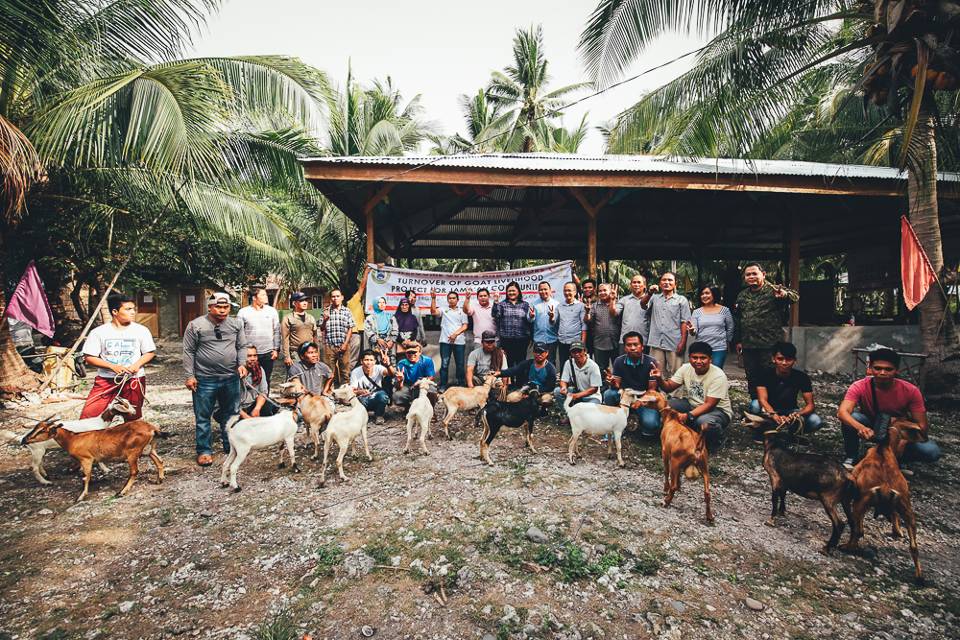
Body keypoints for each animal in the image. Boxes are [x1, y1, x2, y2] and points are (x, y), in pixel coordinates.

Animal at [19, 416, 166, 504]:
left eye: (42, 430)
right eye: (35, 427)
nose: (24, 440)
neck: (73, 439)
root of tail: (152, 429)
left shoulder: (86, 459)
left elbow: (86, 477)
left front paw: (80, 497)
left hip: (132, 453)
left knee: (135, 471)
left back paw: (121, 492)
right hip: (149, 449)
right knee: (159, 461)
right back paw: (159, 479)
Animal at [636, 390, 712, 524]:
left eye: (647, 394)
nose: (639, 398)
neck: (672, 419)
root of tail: (697, 446)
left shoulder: (665, 452)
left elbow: (666, 472)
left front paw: (665, 488)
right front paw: (680, 485)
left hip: (676, 461)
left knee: (673, 485)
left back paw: (666, 501)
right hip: (704, 466)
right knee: (707, 493)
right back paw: (709, 516)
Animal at [744, 412, 856, 552]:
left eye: (761, 417)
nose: (744, 418)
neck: (773, 446)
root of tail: (847, 474)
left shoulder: (775, 477)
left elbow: (775, 499)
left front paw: (771, 520)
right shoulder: (784, 480)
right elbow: (783, 495)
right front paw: (782, 512)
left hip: (828, 498)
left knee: (839, 523)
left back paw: (826, 549)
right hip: (846, 499)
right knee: (853, 523)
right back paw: (846, 546)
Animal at [844, 420, 928, 584]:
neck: (884, 448)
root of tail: (885, 486)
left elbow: (859, 527)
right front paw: (897, 531)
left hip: (860, 502)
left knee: (856, 532)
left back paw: (846, 547)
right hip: (907, 507)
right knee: (914, 547)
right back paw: (919, 577)